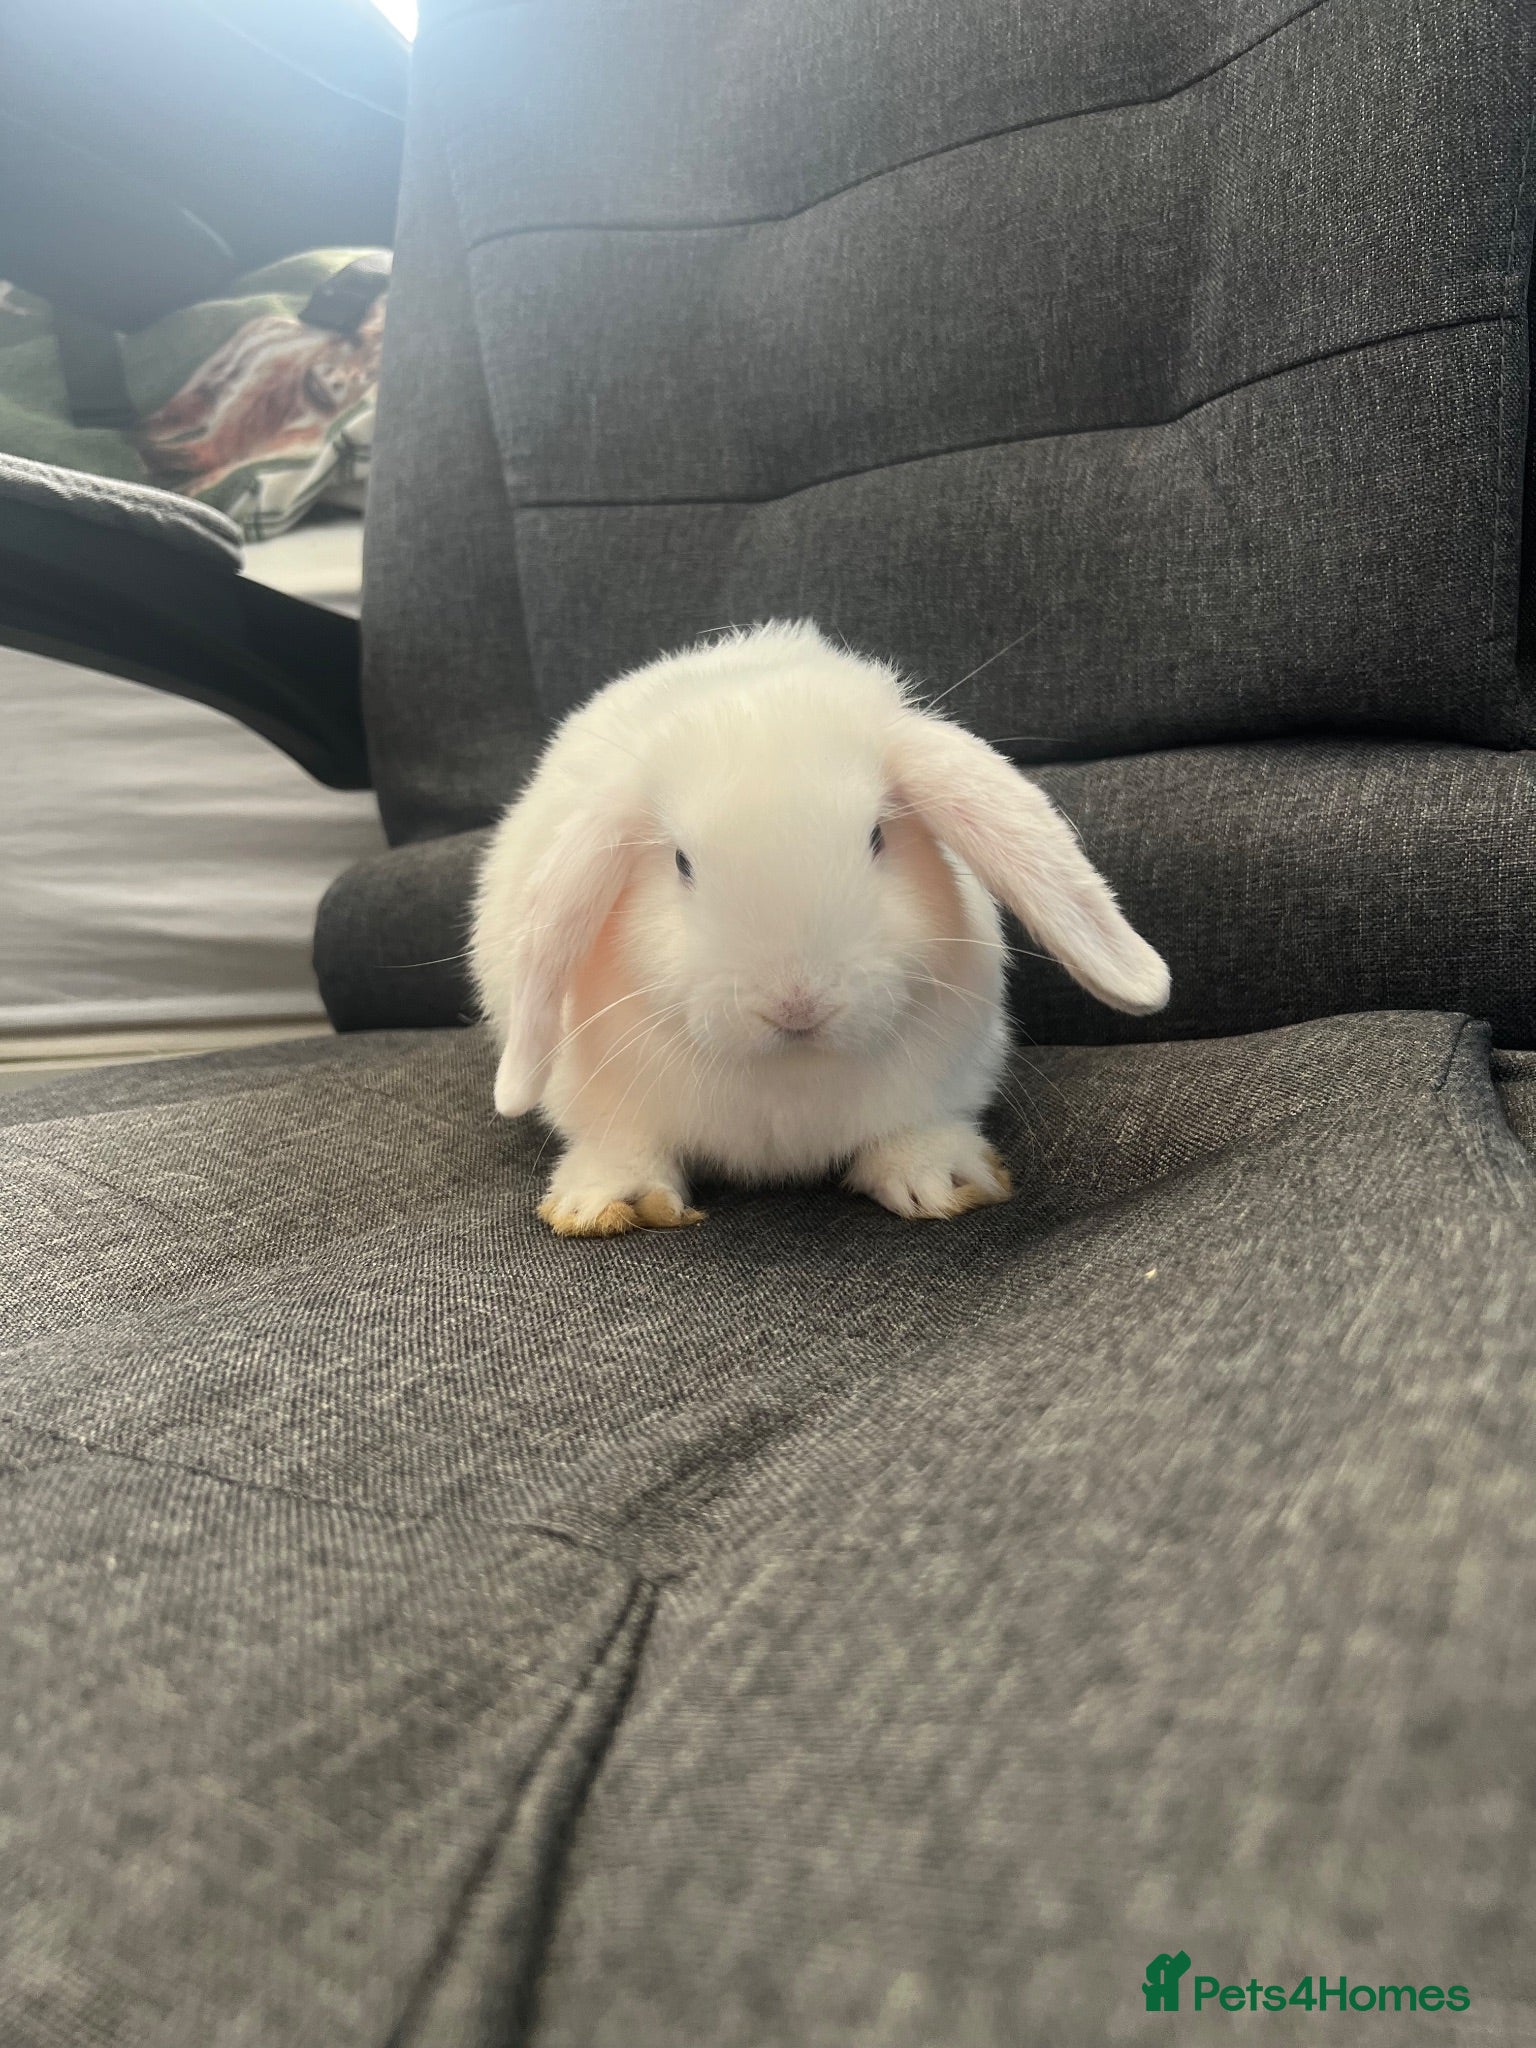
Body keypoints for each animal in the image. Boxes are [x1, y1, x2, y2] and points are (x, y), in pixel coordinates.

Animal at [470, 619, 1169, 1237]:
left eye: (877, 837)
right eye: (681, 863)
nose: (797, 1004)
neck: (792, 1071)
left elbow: (911, 1130)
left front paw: (939, 1180)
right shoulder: (608, 1103)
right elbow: (626, 1144)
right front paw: (610, 1202)